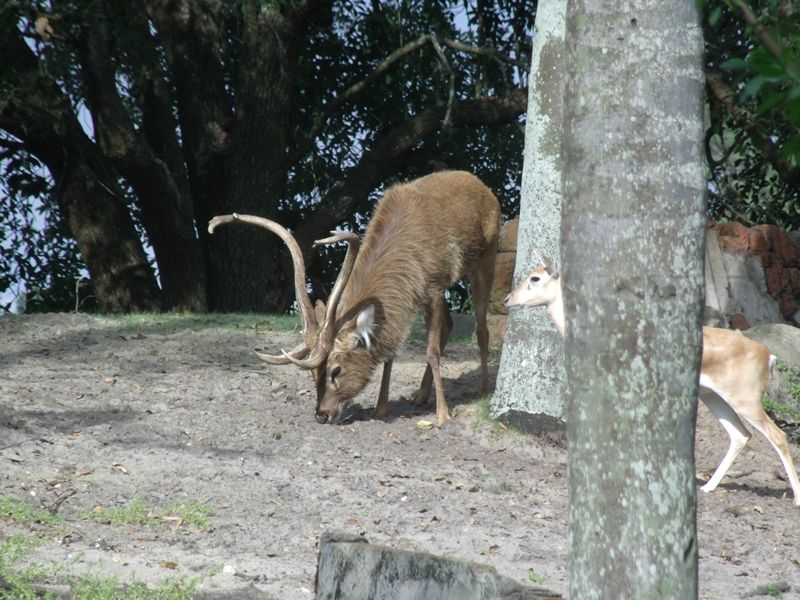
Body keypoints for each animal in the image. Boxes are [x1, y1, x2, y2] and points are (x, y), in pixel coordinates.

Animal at [211, 170, 500, 426]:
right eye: (313, 373)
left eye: (336, 370)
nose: (321, 415)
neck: (408, 264)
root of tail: (482, 186)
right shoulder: (406, 303)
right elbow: (391, 350)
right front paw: (381, 408)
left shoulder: (436, 287)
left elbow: (432, 351)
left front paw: (443, 416)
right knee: (450, 325)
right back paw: (421, 394)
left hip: (484, 260)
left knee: (481, 327)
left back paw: (484, 390)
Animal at [506, 255, 800, 504]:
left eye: (535, 277)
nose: (509, 299)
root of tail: (767, 354)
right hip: (713, 397)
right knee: (740, 435)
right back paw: (707, 487)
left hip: (745, 399)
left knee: (778, 435)